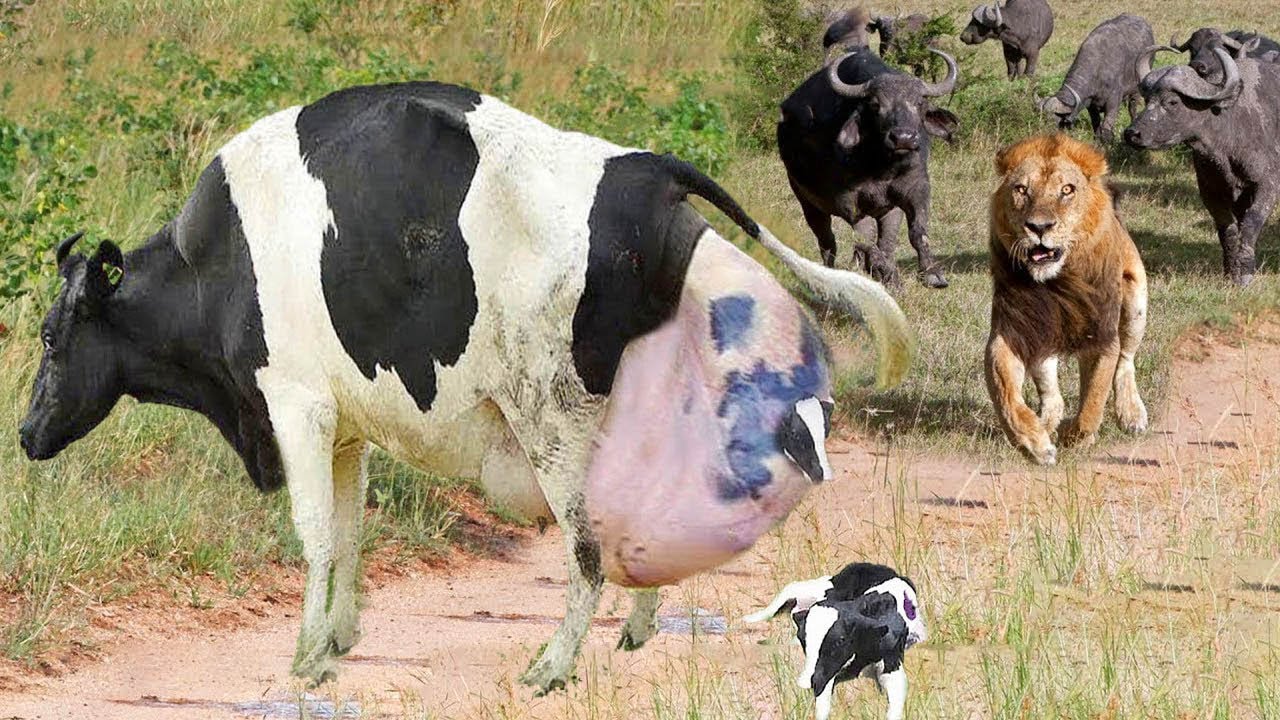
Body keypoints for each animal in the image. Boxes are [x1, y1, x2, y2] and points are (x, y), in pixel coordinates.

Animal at [17, 82, 914, 692]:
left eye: (52, 337)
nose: (26, 434)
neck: (214, 266)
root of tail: (645, 170)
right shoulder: (347, 427)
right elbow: (351, 534)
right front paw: (337, 640)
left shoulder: (296, 406)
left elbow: (316, 534)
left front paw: (305, 658)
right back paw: (636, 630)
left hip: (554, 414)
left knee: (587, 548)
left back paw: (552, 666)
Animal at [778, 47, 959, 289]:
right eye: (876, 105)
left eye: (919, 103)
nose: (903, 138)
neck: (881, 168)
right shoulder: (848, 202)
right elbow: (865, 239)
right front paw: (886, 273)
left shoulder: (917, 188)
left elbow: (918, 232)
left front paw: (932, 274)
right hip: (807, 202)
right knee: (828, 242)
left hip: (889, 211)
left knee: (887, 241)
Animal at [1037, 14, 1153, 143]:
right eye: (1043, 118)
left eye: (1055, 118)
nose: (1046, 134)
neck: (1098, 70)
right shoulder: (1091, 105)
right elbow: (1096, 122)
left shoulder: (1113, 101)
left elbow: (1107, 124)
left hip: (1136, 89)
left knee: (1132, 107)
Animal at [1125, 48, 1280, 285]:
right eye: (1147, 99)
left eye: (1172, 102)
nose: (1132, 133)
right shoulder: (1211, 191)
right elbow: (1228, 230)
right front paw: (1230, 272)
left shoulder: (1267, 185)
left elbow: (1250, 224)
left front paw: (1245, 274)